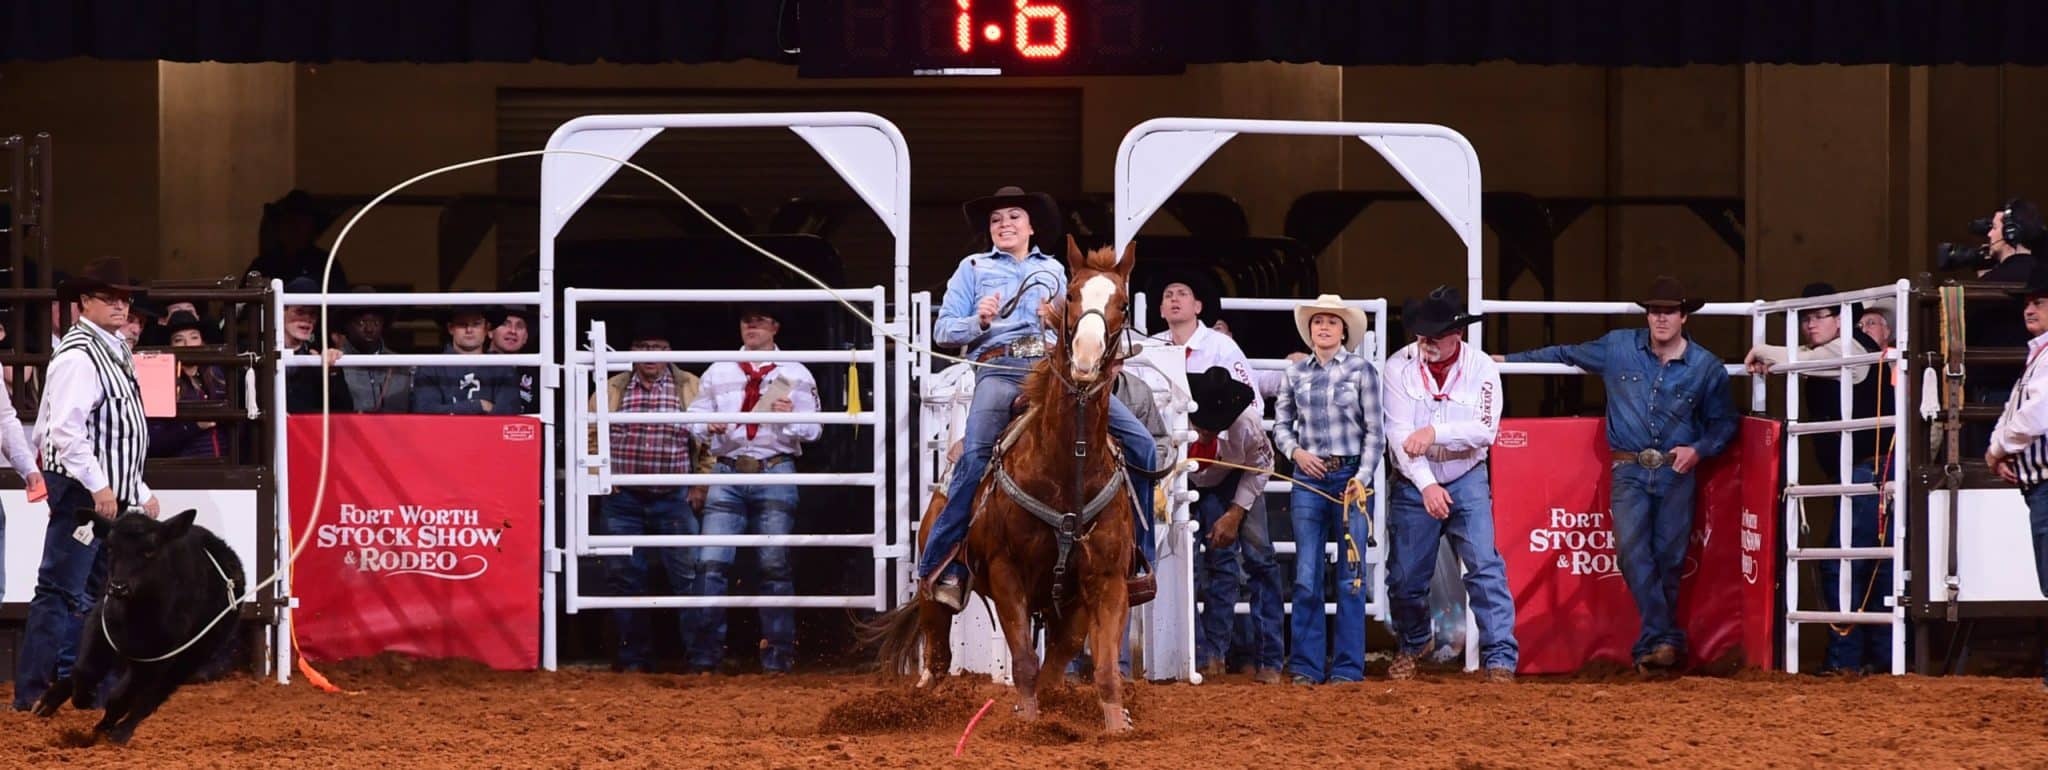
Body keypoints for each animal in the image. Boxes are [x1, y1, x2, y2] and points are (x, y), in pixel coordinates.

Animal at [872, 237, 1146, 729]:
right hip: (934, 586)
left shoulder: (1107, 580)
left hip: (1066, 608)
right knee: (937, 659)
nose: (1086, 356)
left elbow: (1102, 669)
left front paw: (1117, 726)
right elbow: (1022, 661)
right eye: (1070, 296)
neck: (1068, 471)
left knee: (1056, 656)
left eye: (1124, 304)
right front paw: (1028, 724)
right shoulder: (1006, 574)